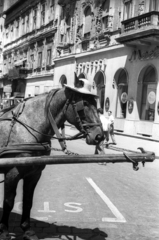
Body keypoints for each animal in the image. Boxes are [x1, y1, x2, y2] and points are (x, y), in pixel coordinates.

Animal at [0, 82, 103, 238]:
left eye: (96, 105)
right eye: (84, 104)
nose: (100, 136)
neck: (25, 128)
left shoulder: (34, 174)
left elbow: (28, 201)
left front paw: (27, 229)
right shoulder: (12, 173)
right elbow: (8, 202)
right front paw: (5, 231)